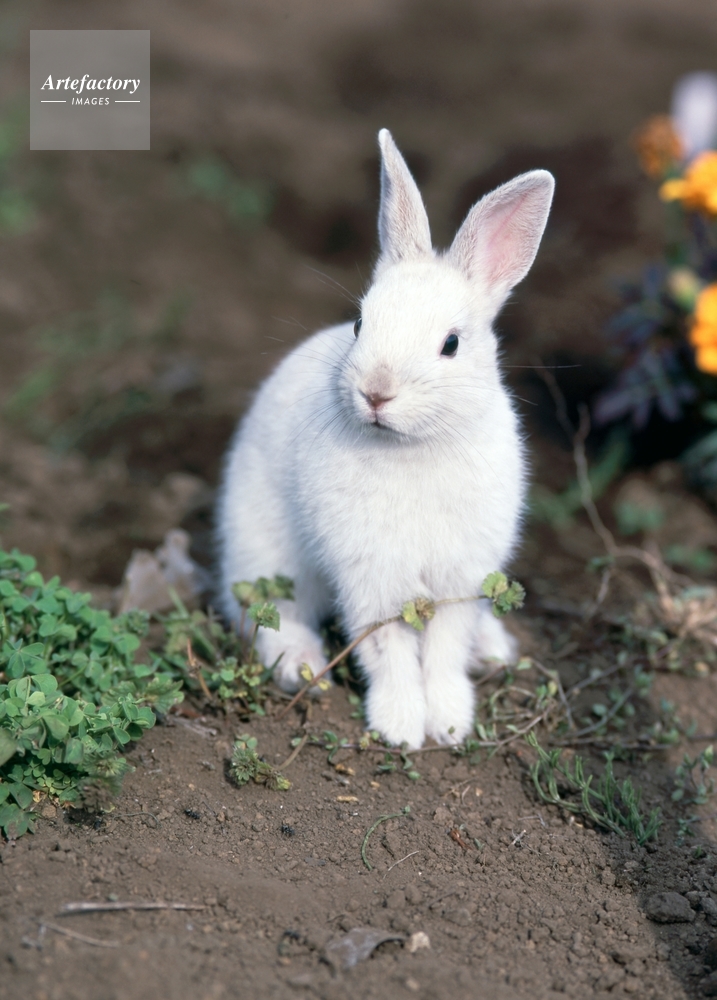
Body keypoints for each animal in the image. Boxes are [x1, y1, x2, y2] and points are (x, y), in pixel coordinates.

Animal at [216, 129, 554, 749]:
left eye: (451, 344)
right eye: (359, 324)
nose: (376, 392)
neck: (413, 446)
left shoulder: (459, 579)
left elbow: (443, 649)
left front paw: (448, 723)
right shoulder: (369, 578)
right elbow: (387, 650)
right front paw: (400, 726)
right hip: (263, 550)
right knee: (269, 614)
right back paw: (301, 665)